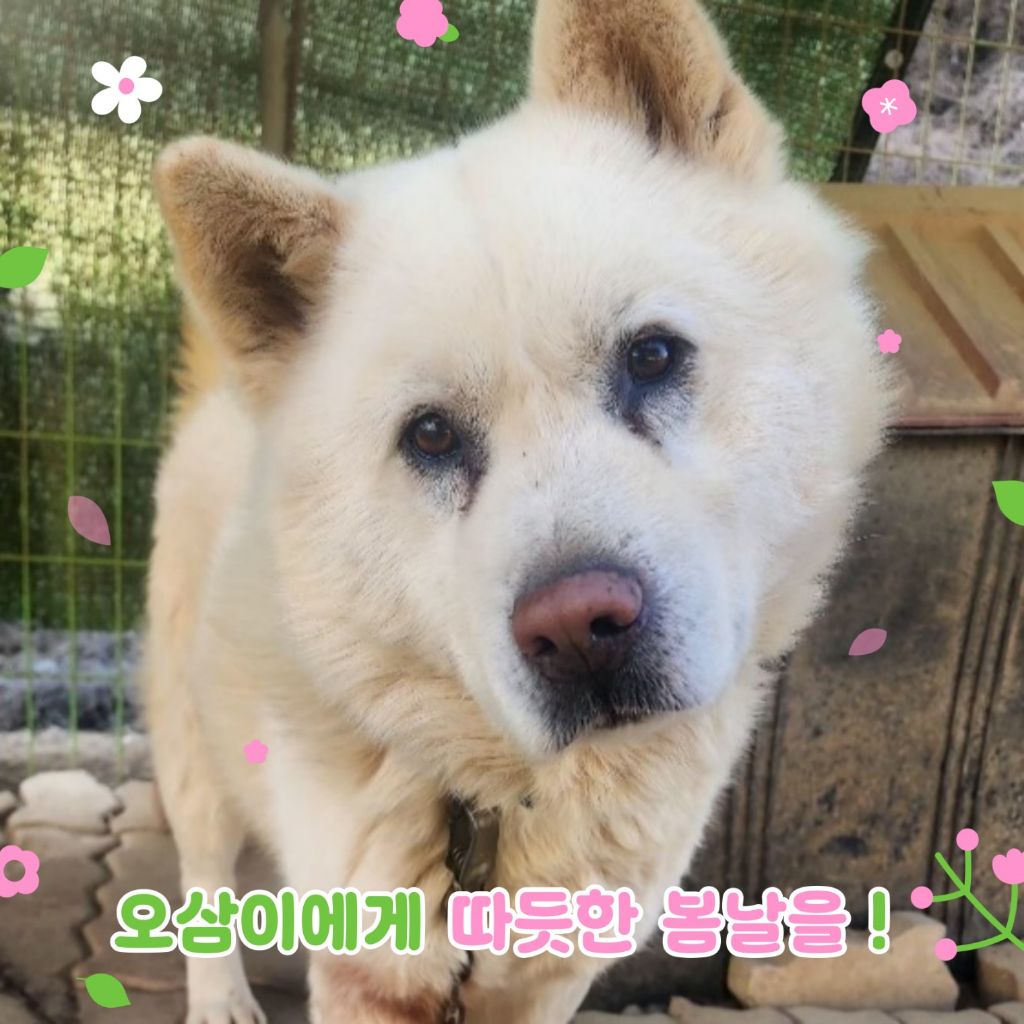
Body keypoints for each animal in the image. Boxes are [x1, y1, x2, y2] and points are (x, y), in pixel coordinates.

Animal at [144, 0, 895, 1020]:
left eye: (651, 356)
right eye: (429, 435)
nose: (578, 630)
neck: (505, 802)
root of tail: (224, 396)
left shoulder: (553, 975)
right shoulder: (362, 974)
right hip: (192, 743)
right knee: (203, 869)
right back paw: (219, 992)